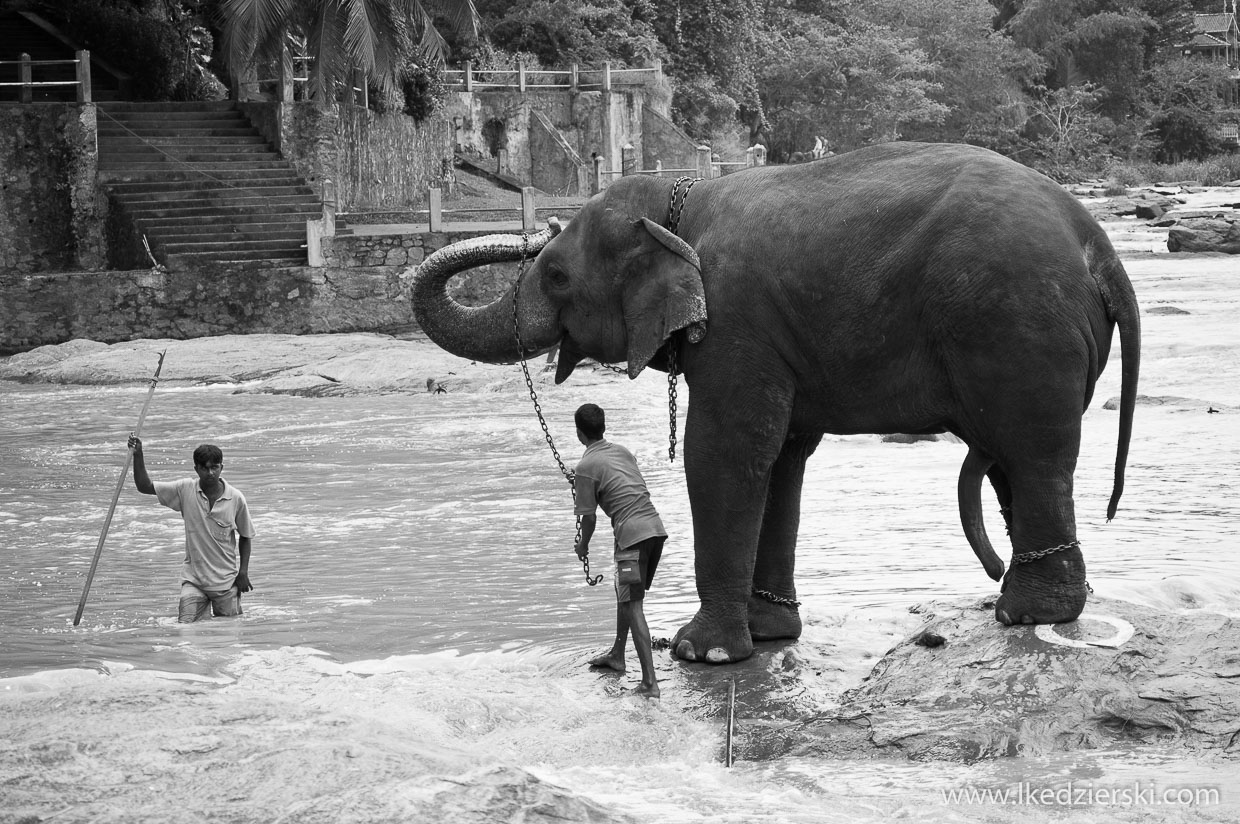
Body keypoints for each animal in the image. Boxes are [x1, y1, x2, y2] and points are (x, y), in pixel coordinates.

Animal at [411, 141, 1135, 664]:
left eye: (558, 275)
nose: (535, 228)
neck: (681, 201)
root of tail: (1097, 242)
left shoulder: (738, 325)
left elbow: (724, 451)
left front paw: (701, 653)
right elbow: (781, 455)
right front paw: (769, 633)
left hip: (1018, 329)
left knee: (1033, 451)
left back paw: (1029, 615)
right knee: (1015, 459)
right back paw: (1035, 605)